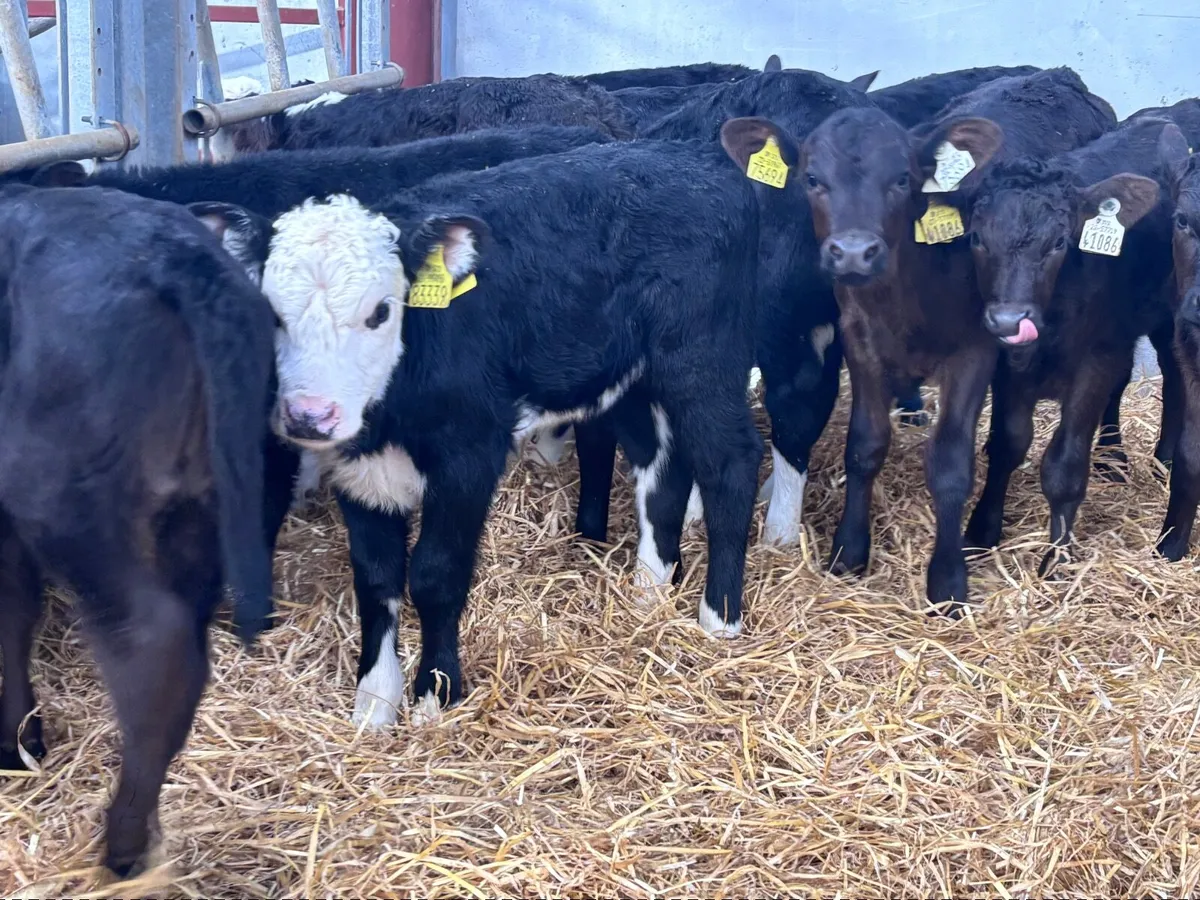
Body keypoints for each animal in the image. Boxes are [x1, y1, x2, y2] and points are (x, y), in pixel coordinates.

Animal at [0, 184, 275, 876]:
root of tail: (172, 253)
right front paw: (22, 739)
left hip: (66, 502)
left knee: (154, 648)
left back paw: (121, 845)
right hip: (199, 504)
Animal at [192, 124, 793, 727]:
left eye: (381, 311)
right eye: (271, 313)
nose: (310, 416)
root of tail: (692, 154)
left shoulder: (468, 456)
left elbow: (434, 574)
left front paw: (435, 694)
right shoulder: (359, 472)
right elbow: (376, 578)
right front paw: (374, 702)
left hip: (703, 360)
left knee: (729, 462)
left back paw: (718, 616)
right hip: (631, 377)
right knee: (660, 470)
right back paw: (648, 591)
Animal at [799, 67, 1115, 613]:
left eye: (902, 179)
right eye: (813, 179)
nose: (855, 253)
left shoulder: (975, 352)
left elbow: (950, 465)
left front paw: (947, 581)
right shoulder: (859, 338)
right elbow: (863, 446)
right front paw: (849, 551)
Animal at [961, 119, 1185, 575]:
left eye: (1059, 243)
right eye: (977, 238)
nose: (1009, 320)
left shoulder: (1094, 360)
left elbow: (1064, 466)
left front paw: (1057, 558)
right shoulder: (1007, 365)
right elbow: (1008, 444)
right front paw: (981, 531)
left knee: (1171, 375)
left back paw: (1164, 459)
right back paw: (1113, 459)